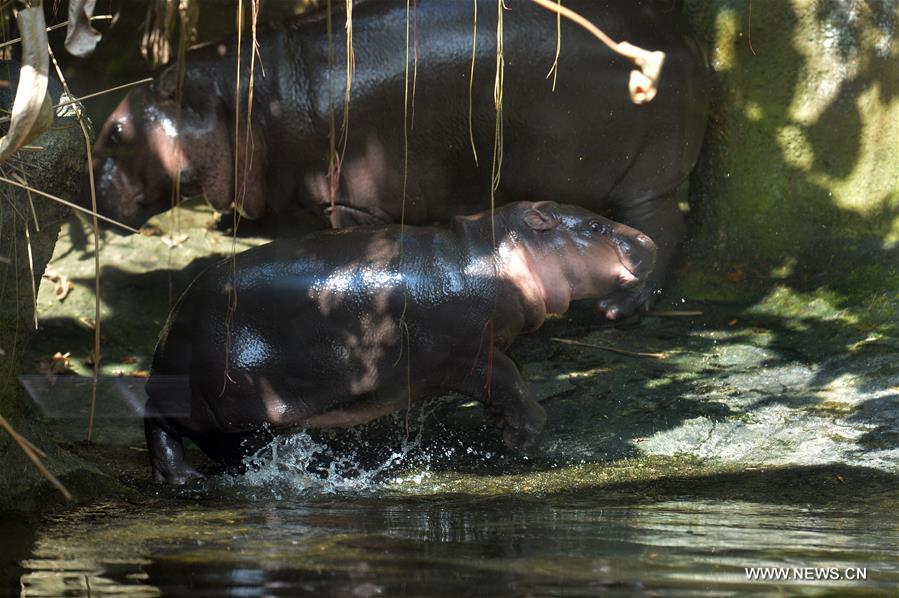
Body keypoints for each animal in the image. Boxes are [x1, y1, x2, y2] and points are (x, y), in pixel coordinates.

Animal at [88, 0, 708, 318]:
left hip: (647, 179)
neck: (243, 100)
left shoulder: (353, 202)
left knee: (664, 231)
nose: (85, 189)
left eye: (115, 131)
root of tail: (689, 41)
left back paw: (619, 309)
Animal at [146, 204, 652, 486]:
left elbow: (515, 383)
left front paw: (505, 429)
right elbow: (513, 385)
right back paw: (184, 479)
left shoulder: (490, 347)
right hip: (213, 401)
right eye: (594, 227)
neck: (496, 251)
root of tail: (170, 322)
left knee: (223, 445)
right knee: (160, 425)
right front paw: (524, 438)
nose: (648, 238)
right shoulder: (469, 354)